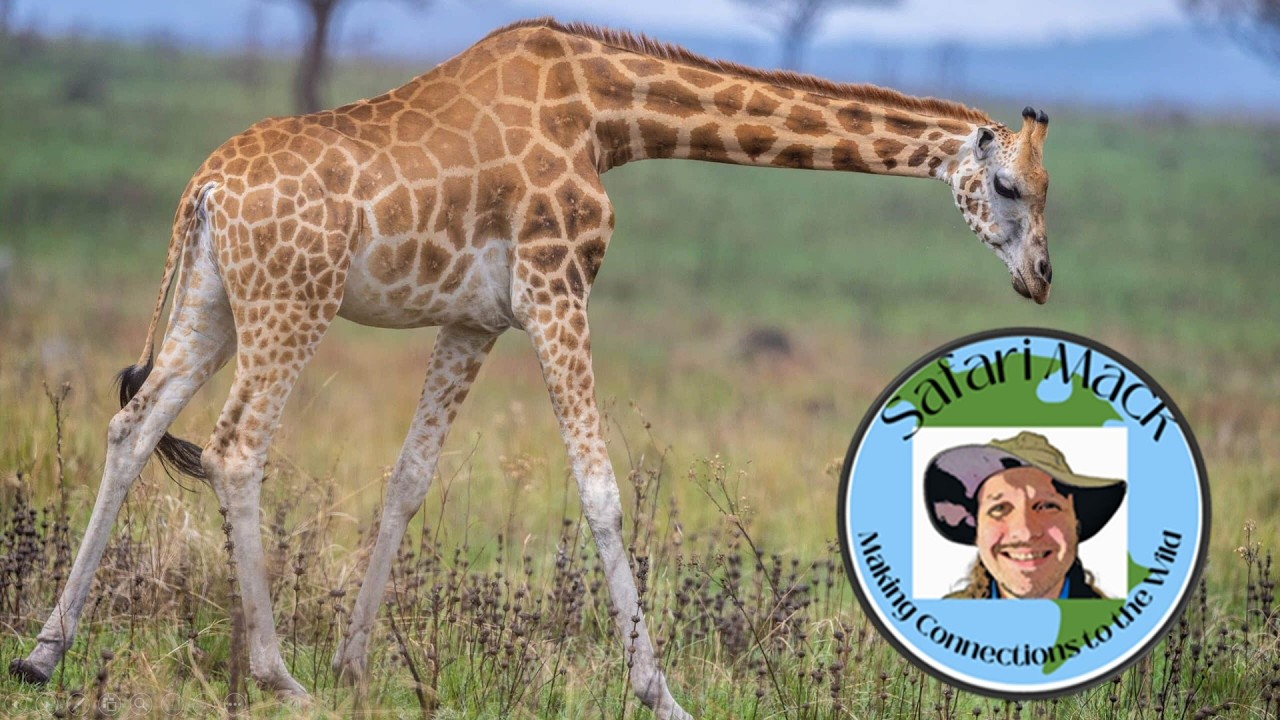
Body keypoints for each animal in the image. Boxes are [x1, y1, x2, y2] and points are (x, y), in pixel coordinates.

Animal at [10, 18, 1052, 718]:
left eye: (1050, 193)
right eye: (1006, 186)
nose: (1040, 278)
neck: (608, 116)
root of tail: (205, 190)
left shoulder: (475, 321)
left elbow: (409, 478)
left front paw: (356, 665)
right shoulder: (557, 286)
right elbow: (599, 488)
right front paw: (660, 692)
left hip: (214, 303)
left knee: (134, 423)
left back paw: (44, 654)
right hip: (290, 301)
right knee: (233, 449)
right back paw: (274, 674)